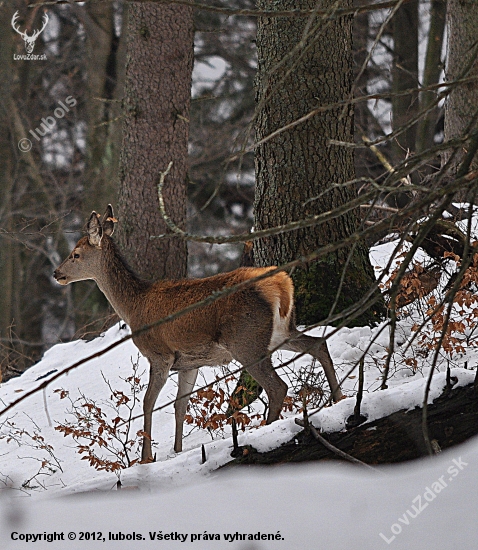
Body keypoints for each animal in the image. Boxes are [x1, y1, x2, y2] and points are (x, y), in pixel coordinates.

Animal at [53, 205, 344, 464]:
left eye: (76, 254)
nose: (57, 273)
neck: (134, 306)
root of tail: (280, 285)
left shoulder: (160, 355)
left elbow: (148, 403)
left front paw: (145, 458)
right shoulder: (189, 363)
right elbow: (179, 406)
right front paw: (177, 450)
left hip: (246, 340)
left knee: (277, 386)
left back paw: (265, 430)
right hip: (281, 332)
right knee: (318, 343)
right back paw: (339, 399)